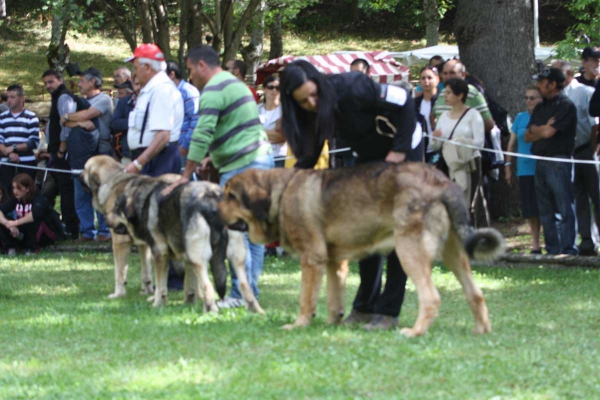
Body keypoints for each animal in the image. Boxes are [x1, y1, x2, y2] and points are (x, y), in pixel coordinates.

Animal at [218, 161, 504, 336]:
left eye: (231, 196)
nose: (214, 208)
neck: (280, 193)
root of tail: (442, 181)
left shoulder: (312, 259)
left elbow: (306, 299)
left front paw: (298, 324)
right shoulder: (334, 262)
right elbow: (334, 298)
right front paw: (332, 323)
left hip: (409, 250)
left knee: (431, 297)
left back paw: (414, 332)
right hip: (454, 254)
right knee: (476, 293)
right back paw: (481, 330)